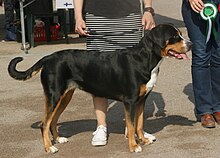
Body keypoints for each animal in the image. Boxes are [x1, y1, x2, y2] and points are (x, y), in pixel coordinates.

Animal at [7, 24, 192, 154]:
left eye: (180, 34)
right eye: (174, 36)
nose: (190, 44)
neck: (145, 59)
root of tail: (48, 57)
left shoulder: (141, 100)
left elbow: (139, 124)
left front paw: (143, 140)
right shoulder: (130, 101)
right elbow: (132, 125)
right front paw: (133, 146)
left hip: (65, 96)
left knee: (52, 121)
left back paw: (59, 140)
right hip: (53, 95)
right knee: (44, 123)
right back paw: (49, 148)